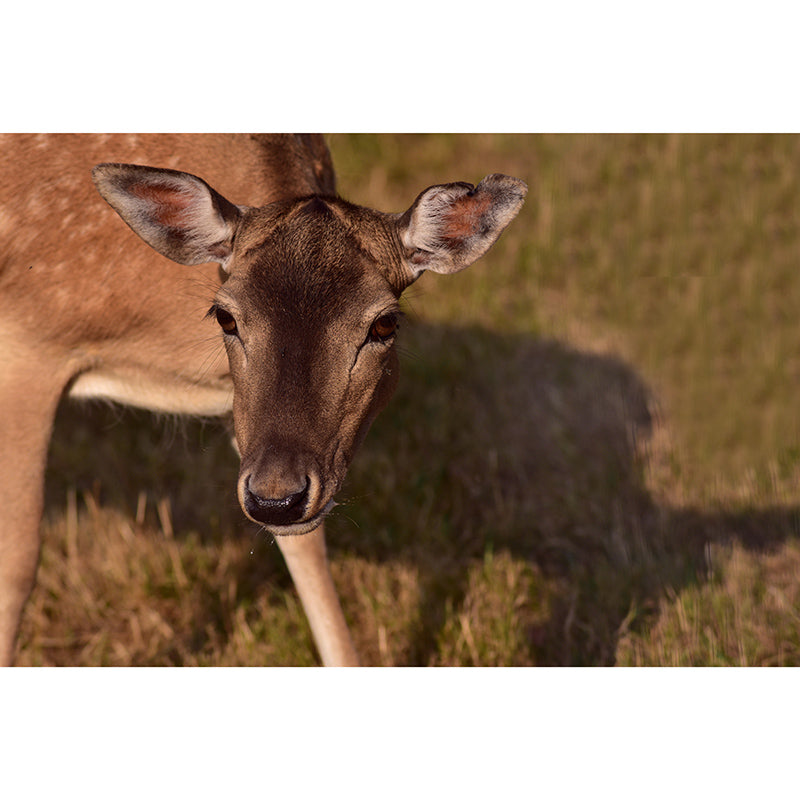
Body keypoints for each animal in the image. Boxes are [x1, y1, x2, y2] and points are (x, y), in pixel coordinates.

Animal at [0, 134, 526, 666]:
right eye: (224, 316)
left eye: (384, 323)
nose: (277, 501)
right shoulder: (28, 343)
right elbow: (18, 563)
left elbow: (307, 553)